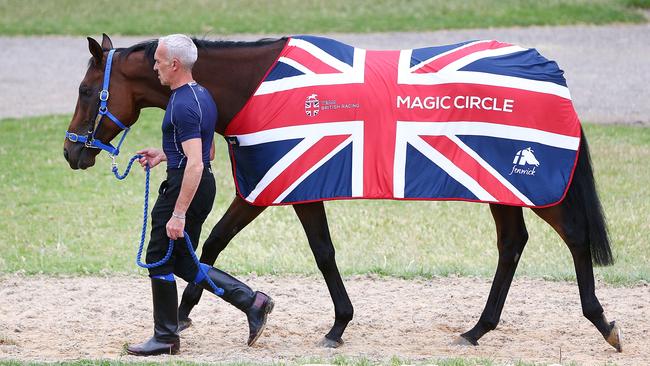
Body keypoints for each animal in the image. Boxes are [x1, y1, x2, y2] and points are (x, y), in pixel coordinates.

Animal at [63, 34, 620, 352]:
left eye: (86, 91)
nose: (72, 152)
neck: (253, 87)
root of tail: (552, 71)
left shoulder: (276, 184)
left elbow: (310, 251)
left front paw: (335, 327)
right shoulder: (275, 186)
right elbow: (219, 242)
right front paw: (189, 312)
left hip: (527, 182)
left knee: (573, 235)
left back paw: (601, 322)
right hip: (498, 190)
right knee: (512, 245)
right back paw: (477, 329)